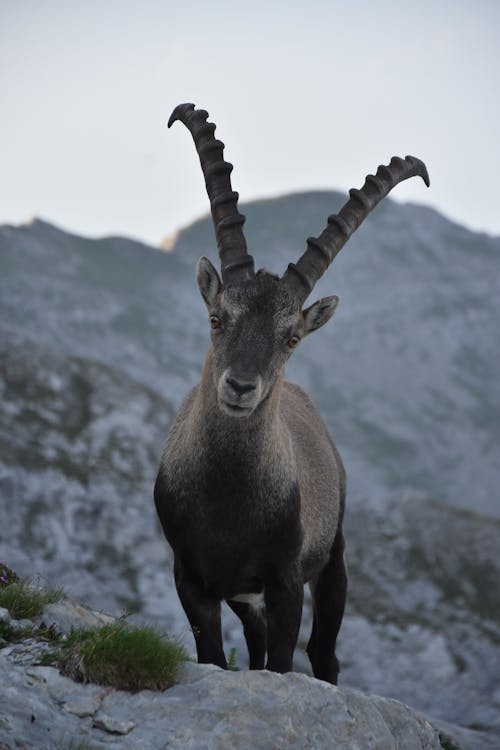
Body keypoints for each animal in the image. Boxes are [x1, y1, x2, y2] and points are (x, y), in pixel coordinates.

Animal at [154, 103, 428, 684]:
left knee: (323, 654)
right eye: (217, 318)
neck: (229, 499)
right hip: (243, 598)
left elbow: (283, 662)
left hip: (334, 560)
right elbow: (215, 658)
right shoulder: (192, 580)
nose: (240, 386)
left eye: (291, 338)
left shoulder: (286, 584)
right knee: (255, 646)